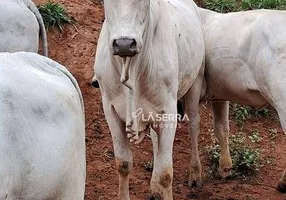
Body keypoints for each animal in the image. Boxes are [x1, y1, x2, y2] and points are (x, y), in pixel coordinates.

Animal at [92, 0, 204, 198]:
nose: (124, 44)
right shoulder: (110, 108)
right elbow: (123, 163)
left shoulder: (169, 110)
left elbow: (165, 174)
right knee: (155, 140)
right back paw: (153, 188)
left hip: (195, 83)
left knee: (194, 125)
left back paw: (195, 175)